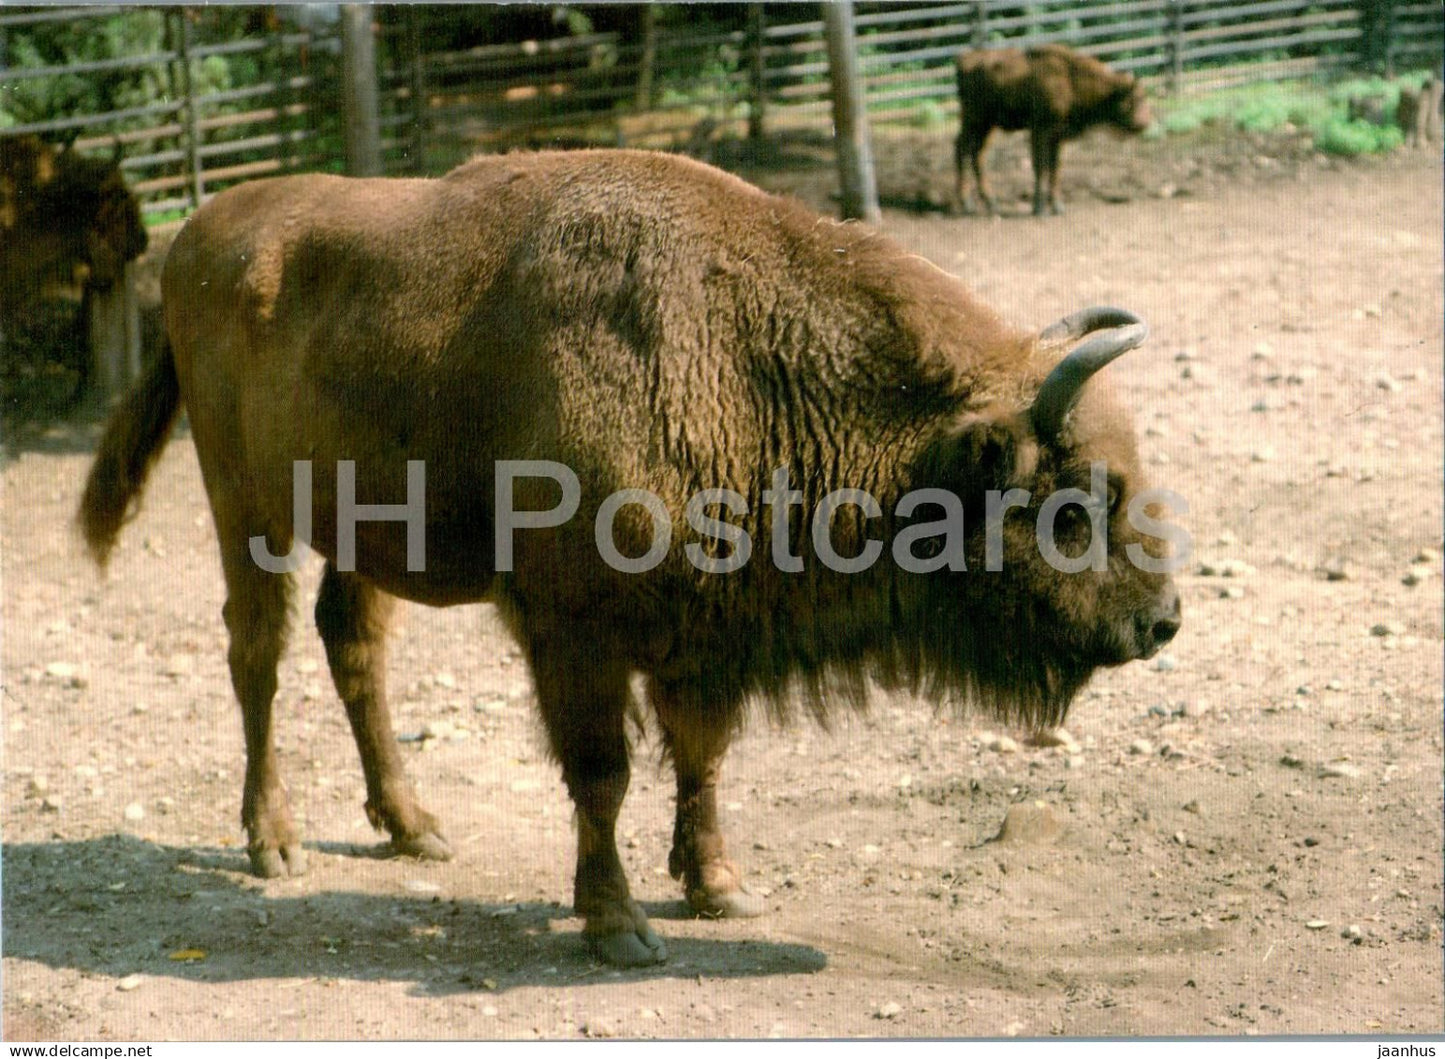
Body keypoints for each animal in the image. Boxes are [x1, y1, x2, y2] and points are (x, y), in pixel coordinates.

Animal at [80, 149, 1181, 966]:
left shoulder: (702, 635)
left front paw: (719, 887)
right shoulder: (575, 631)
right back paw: (272, 841)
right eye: (1074, 500)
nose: (1159, 619)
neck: (740, 354)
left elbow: (700, 757)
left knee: (351, 646)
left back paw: (411, 824)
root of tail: (202, 234)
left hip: (356, 532)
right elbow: (601, 773)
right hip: (244, 509)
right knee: (256, 653)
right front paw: (618, 924)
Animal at [953, 44, 1152, 217]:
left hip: (987, 126)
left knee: (977, 154)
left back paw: (990, 203)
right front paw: (1039, 209)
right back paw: (968, 204)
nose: (1145, 122)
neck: (1070, 80)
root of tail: (965, 59)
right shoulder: (1040, 131)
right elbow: (1041, 168)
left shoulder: (1057, 136)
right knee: (962, 149)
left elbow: (1055, 169)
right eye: (1136, 98)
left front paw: (1057, 206)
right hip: (975, 120)